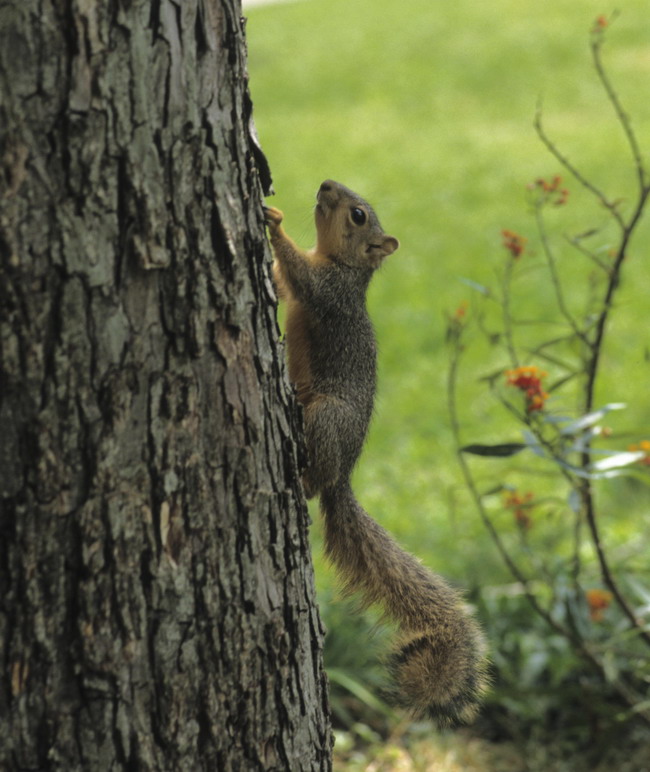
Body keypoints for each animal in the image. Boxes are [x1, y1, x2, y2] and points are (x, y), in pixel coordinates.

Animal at [264, 179, 486, 724]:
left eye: (359, 215)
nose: (326, 184)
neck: (338, 260)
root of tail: (344, 472)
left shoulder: (331, 292)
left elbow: (304, 280)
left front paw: (273, 222)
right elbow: (286, 284)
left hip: (328, 416)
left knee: (316, 478)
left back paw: (305, 480)